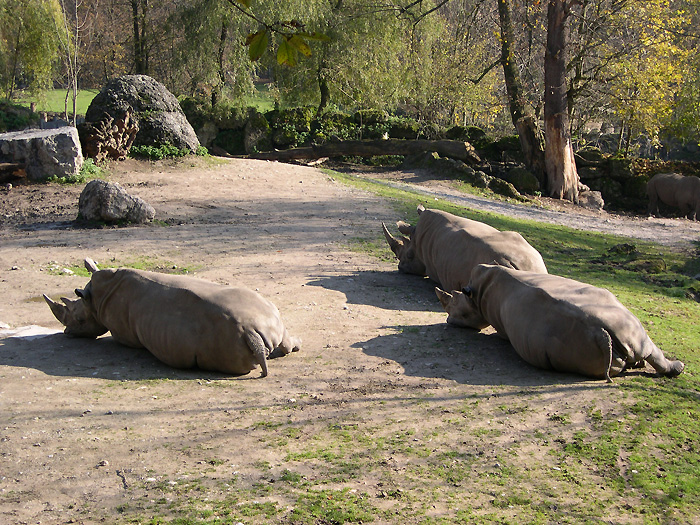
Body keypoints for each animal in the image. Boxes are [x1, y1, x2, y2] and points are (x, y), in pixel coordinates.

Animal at [41, 258, 298, 376]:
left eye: (79, 321)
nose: (67, 333)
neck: (93, 298)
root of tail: (250, 331)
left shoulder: (120, 332)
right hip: (266, 313)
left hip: (222, 341)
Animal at [438, 264, 684, 378]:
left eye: (460, 313)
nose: (449, 322)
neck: (475, 293)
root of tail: (600, 332)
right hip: (602, 330)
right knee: (645, 346)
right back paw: (673, 368)